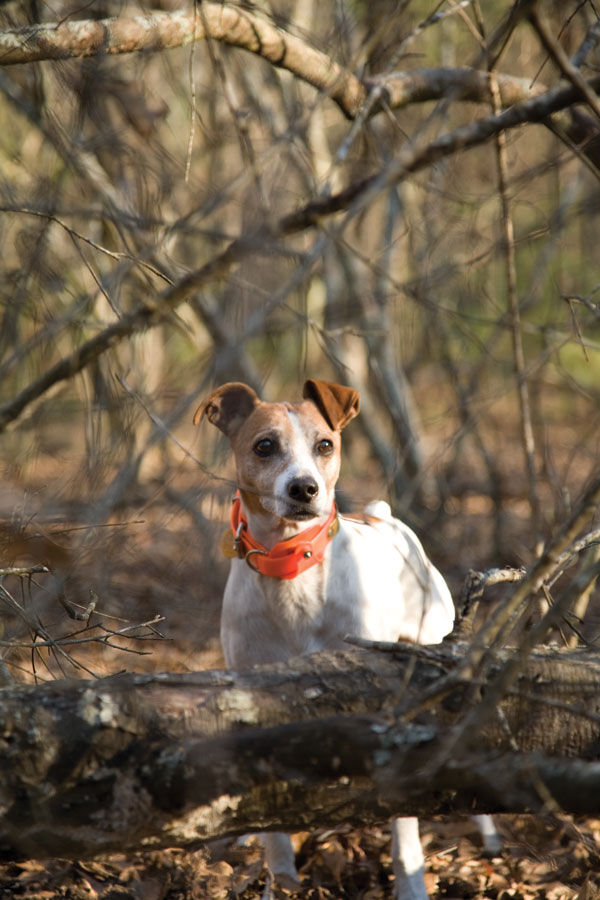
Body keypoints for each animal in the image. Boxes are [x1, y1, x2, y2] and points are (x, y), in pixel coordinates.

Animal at [196, 380, 496, 900]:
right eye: (264, 446)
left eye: (325, 445)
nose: (304, 488)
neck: (292, 570)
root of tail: (382, 518)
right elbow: (275, 829)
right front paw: (280, 878)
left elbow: (402, 825)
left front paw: (411, 883)